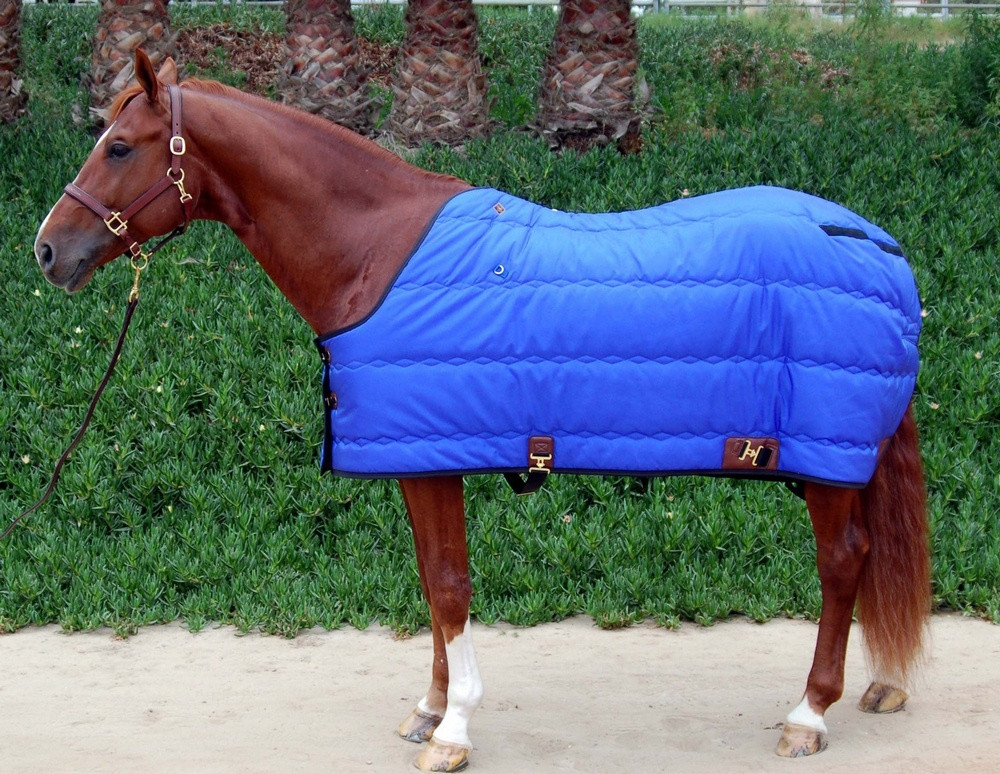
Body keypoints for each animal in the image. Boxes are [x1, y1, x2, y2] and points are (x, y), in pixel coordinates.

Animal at [33, 50, 930, 772]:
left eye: (120, 146)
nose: (47, 249)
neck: (376, 253)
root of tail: (880, 247)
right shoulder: (420, 456)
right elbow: (432, 583)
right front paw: (429, 708)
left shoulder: (435, 458)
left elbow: (449, 585)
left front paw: (454, 729)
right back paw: (881, 685)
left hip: (825, 463)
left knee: (844, 563)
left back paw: (809, 713)